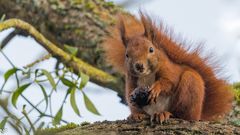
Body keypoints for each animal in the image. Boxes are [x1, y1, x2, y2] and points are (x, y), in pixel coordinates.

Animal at [102, 12, 232, 122]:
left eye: (151, 49)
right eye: (127, 55)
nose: (139, 65)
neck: (147, 75)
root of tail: (199, 114)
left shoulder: (170, 70)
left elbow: (169, 81)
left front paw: (157, 88)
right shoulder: (131, 80)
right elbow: (129, 92)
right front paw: (135, 99)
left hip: (190, 87)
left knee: (183, 114)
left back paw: (165, 114)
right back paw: (138, 115)